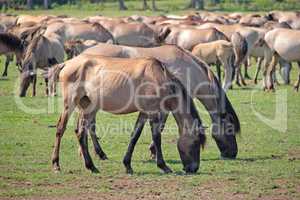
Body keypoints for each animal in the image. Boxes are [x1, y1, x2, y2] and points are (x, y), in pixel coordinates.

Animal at [49, 43, 240, 159]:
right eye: (230, 129)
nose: (232, 153)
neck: (186, 68)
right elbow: (160, 127)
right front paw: (153, 151)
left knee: (87, 126)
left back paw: (94, 154)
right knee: (86, 126)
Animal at [51, 54, 206, 173]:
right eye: (196, 142)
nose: (194, 168)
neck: (159, 77)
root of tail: (67, 63)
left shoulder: (144, 113)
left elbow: (134, 136)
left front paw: (127, 165)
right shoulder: (153, 112)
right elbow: (156, 137)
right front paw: (163, 166)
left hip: (88, 106)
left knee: (81, 133)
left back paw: (91, 166)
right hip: (70, 104)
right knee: (61, 129)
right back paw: (56, 164)